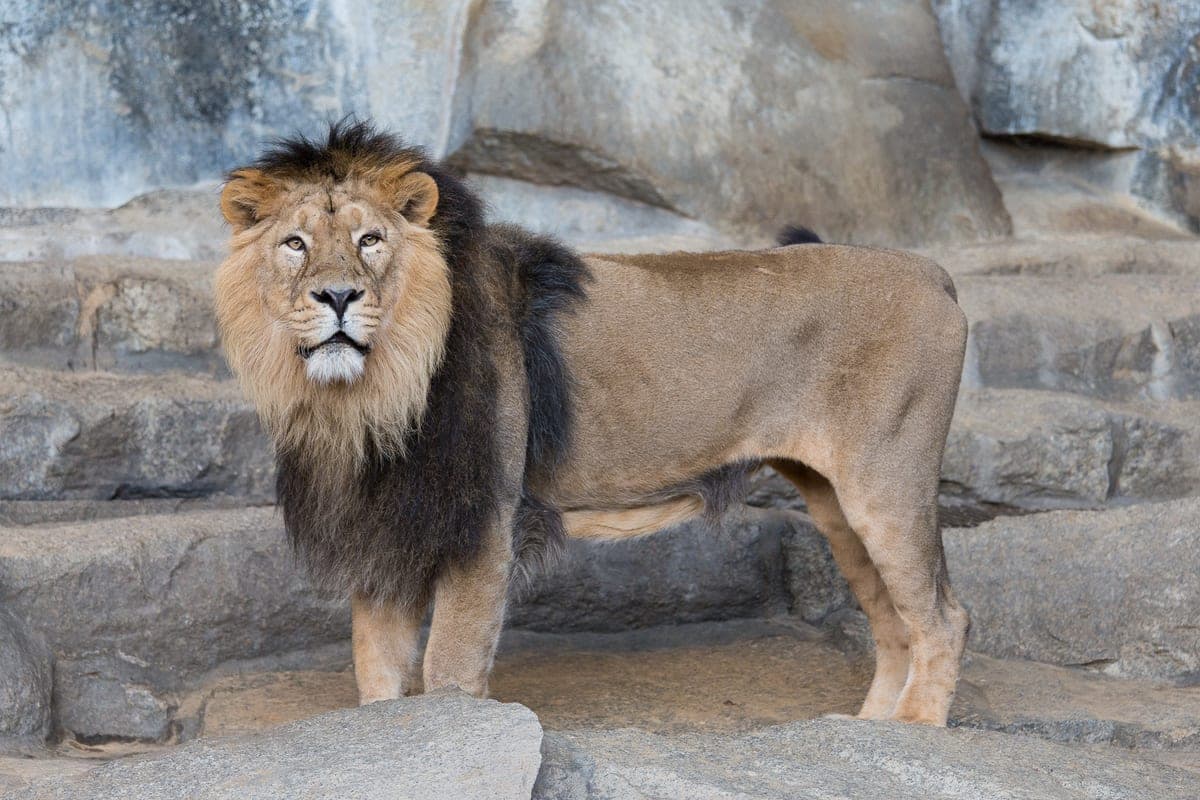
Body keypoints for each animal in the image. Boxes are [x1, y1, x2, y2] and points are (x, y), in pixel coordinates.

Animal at [215, 120, 969, 726]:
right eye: (295, 244)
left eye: (370, 240)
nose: (338, 296)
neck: (370, 397)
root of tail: (932, 270)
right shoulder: (389, 526)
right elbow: (376, 676)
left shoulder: (485, 523)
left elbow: (448, 672)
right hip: (836, 503)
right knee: (894, 624)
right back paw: (867, 735)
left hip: (886, 486)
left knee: (942, 619)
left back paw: (915, 733)